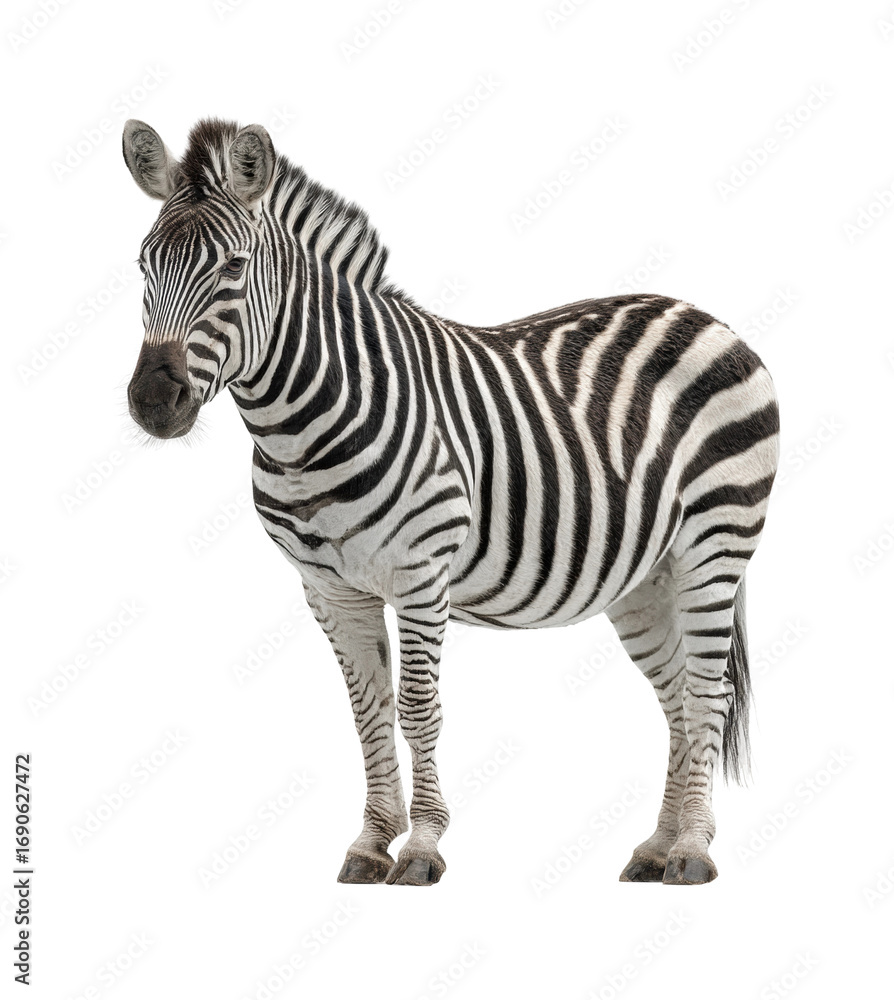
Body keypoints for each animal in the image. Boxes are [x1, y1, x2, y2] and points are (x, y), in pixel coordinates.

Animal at [122, 117, 779, 887]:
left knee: (707, 693)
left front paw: (422, 848)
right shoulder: (328, 589)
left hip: (716, 541)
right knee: (676, 695)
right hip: (647, 574)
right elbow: (367, 711)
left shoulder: (420, 573)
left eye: (232, 268)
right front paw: (371, 842)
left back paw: (693, 850)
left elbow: (417, 707)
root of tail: (702, 314)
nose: (153, 401)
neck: (302, 428)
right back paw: (656, 846)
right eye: (143, 266)